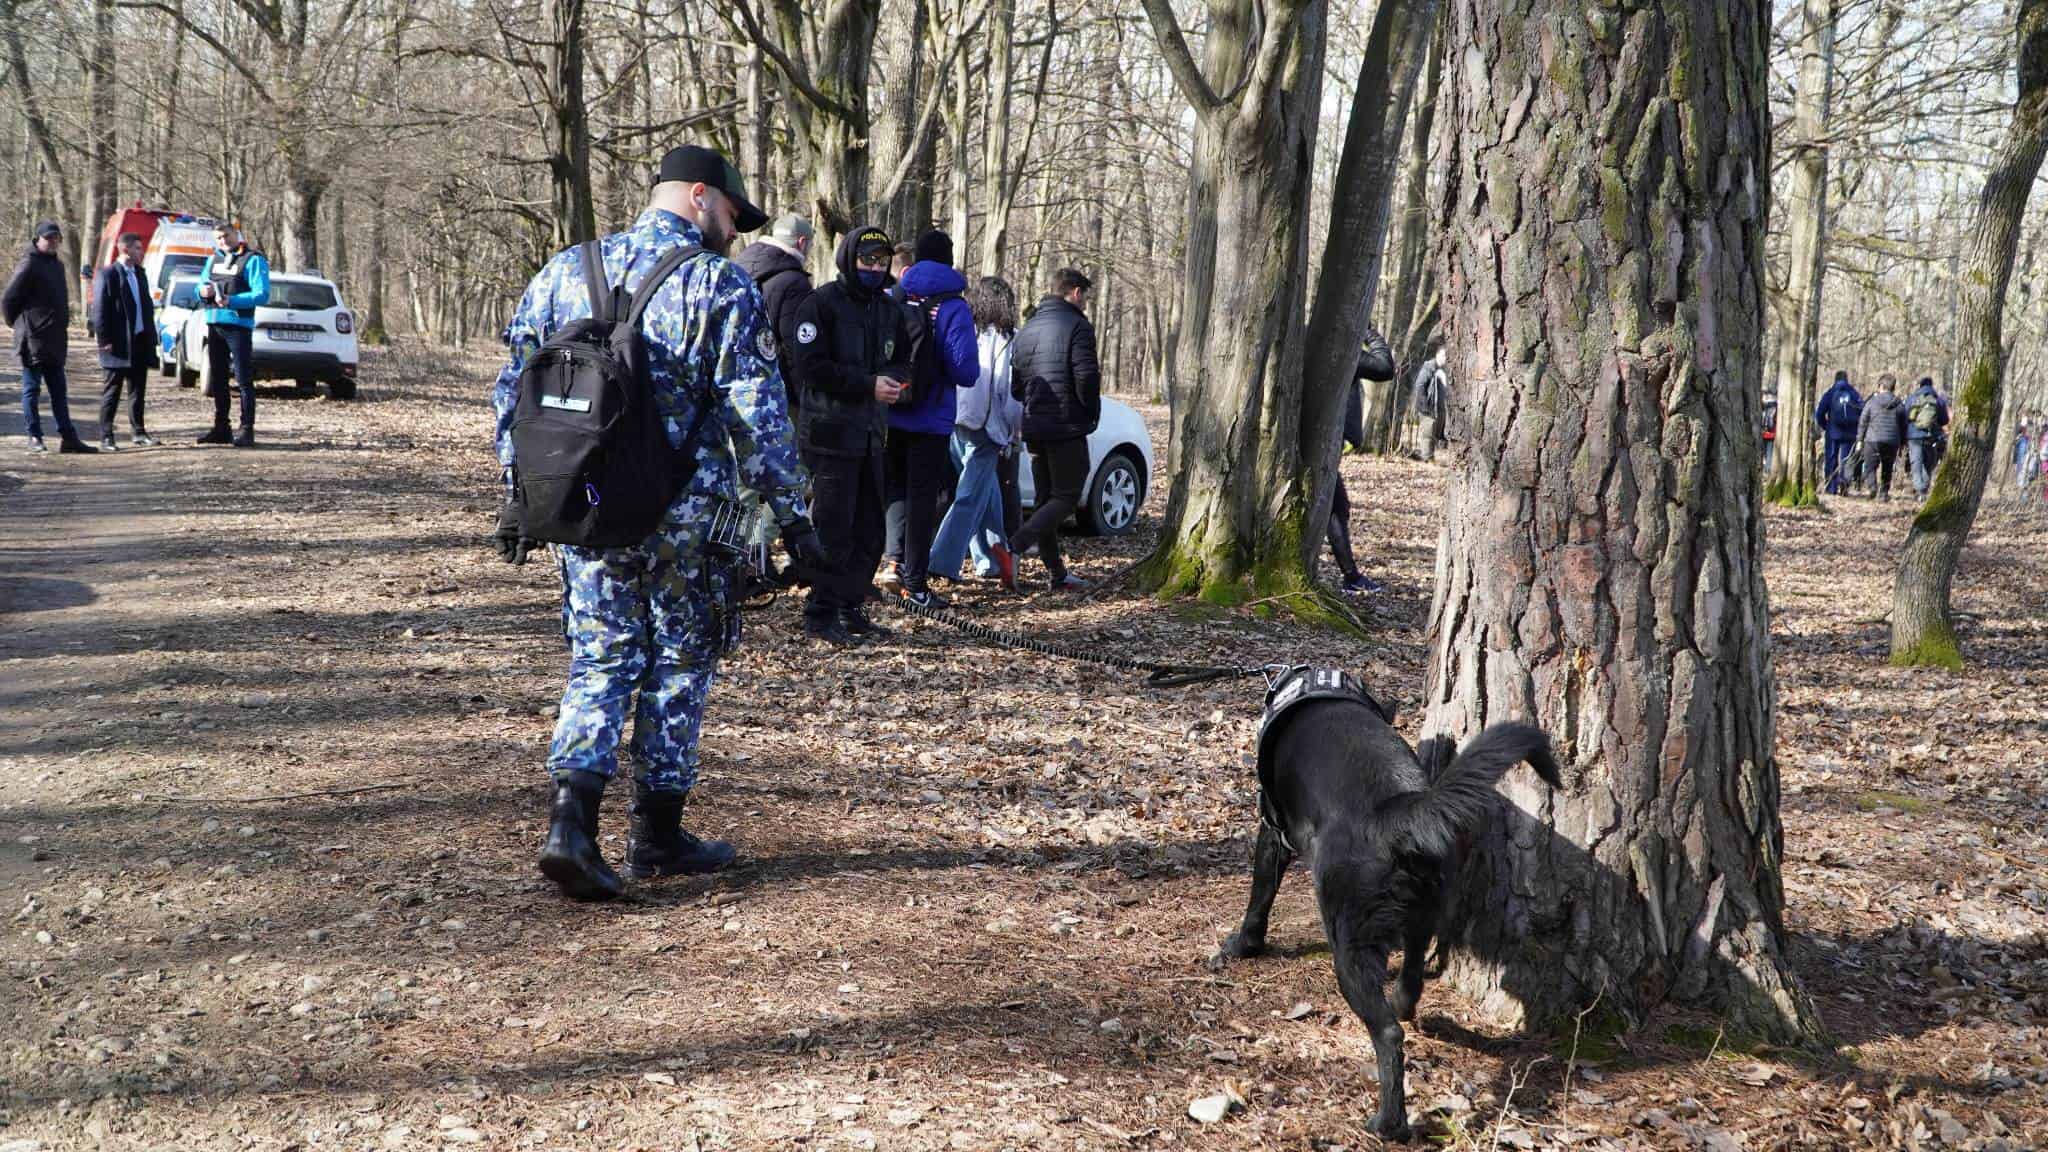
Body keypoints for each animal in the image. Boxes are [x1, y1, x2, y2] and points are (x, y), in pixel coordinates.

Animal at [1212, 676, 1548, 1131]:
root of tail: (1397, 812)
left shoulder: (1272, 831)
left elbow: (1259, 898)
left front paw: (1241, 946)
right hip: (1423, 913)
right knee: (1411, 978)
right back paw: (1406, 1007)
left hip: (1350, 946)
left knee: (1388, 1034)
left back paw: (1389, 1123)